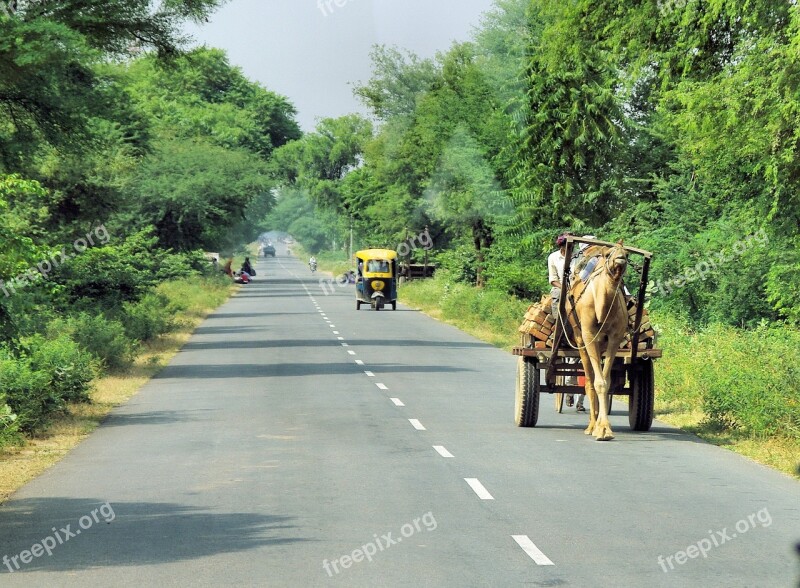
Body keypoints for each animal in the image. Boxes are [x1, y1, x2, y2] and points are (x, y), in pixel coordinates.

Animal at [564, 241, 628, 438]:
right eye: (608, 254)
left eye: (627, 254)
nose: (620, 258)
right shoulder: (588, 335)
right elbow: (597, 382)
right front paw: (601, 429)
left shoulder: (615, 338)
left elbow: (606, 382)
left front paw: (605, 427)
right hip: (579, 338)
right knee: (588, 380)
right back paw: (591, 425)